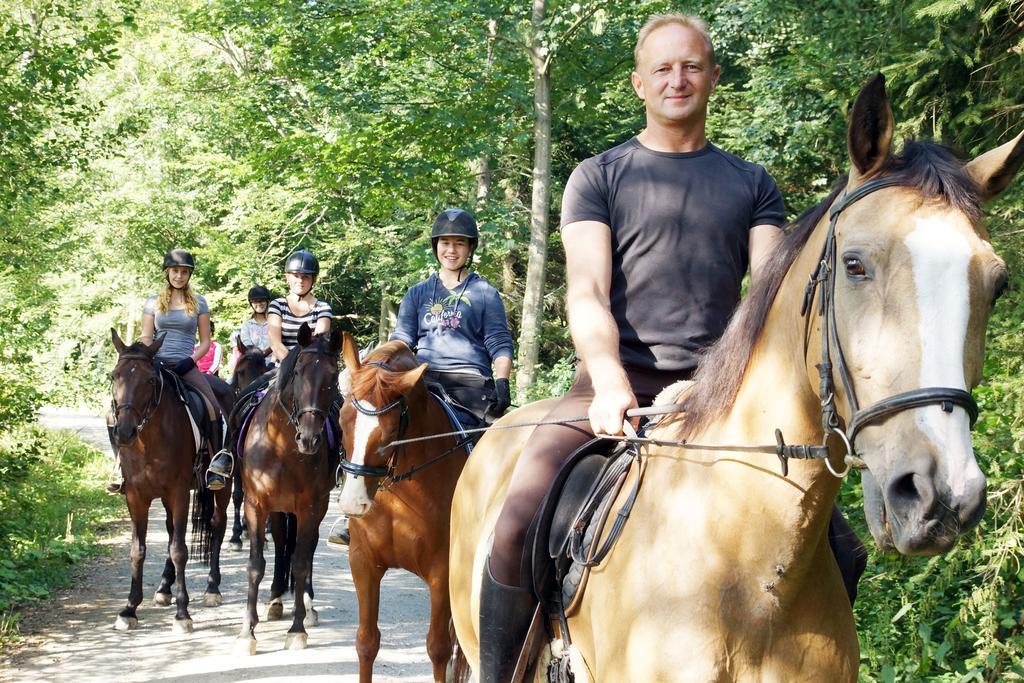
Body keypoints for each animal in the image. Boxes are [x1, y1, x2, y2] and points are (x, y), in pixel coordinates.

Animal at [110, 327, 234, 634]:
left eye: (150, 380)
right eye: (114, 376)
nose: (124, 431)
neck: (148, 440)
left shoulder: (178, 492)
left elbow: (179, 550)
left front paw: (182, 613)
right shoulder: (137, 496)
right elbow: (138, 550)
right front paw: (129, 609)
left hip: (222, 486)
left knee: (217, 524)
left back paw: (212, 588)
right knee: (169, 530)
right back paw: (164, 588)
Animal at [234, 323, 342, 655]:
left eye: (333, 376)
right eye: (298, 372)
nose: (309, 438)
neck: (282, 444)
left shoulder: (310, 507)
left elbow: (302, 560)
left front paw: (297, 629)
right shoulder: (256, 505)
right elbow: (256, 565)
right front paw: (247, 633)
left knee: (302, 549)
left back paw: (306, 605)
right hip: (277, 509)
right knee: (282, 542)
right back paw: (276, 599)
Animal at [339, 335, 475, 683]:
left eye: (388, 434)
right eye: (342, 419)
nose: (352, 502)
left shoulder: (442, 573)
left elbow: (439, 648)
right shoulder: (363, 562)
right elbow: (366, 642)